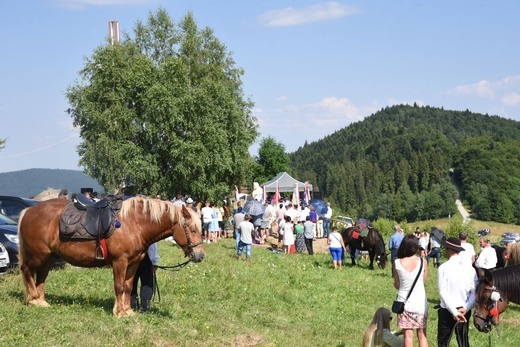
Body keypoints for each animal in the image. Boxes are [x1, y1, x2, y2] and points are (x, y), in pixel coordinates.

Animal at [18, 196, 205, 318]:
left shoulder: (134, 263)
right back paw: (33, 299)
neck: (134, 223)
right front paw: (119, 311)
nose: (201, 255)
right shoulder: (119, 261)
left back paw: (42, 301)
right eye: (192, 229)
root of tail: (28, 211)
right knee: (26, 270)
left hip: (49, 257)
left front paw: (128, 310)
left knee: (41, 277)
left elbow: (128, 287)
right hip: (38, 254)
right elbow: (119, 286)